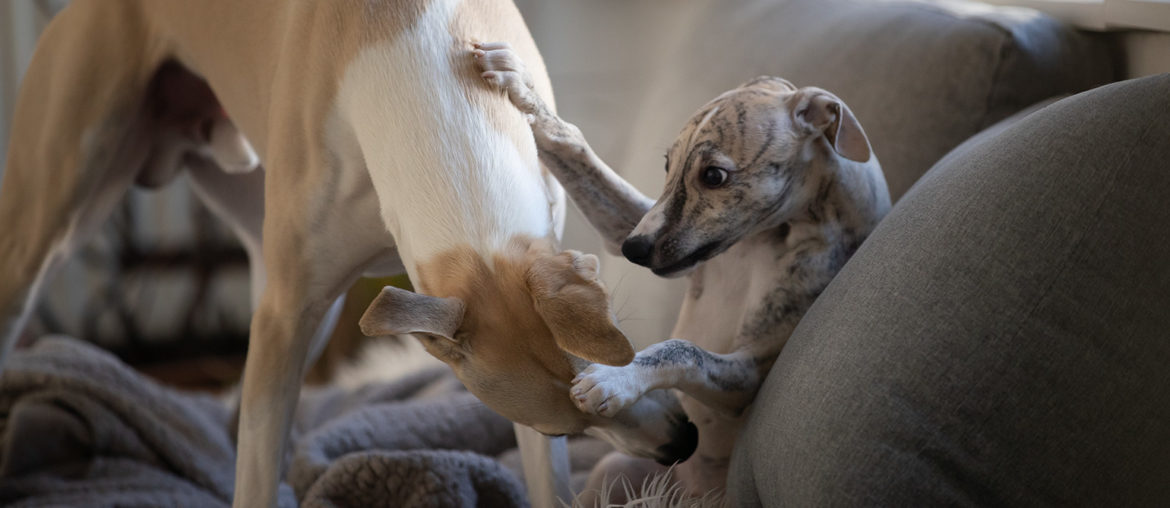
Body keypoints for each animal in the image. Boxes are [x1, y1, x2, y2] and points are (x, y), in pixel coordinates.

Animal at [0, 1, 692, 505]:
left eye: (621, 362)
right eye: (561, 430)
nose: (682, 445)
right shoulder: (286, 313)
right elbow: (254, 476)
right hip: (53, 227)